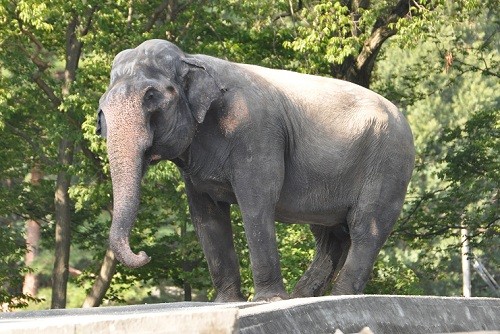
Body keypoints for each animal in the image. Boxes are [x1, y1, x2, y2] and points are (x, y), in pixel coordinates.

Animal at [96, 39, 414, 302]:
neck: (191, 59)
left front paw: (267, 300)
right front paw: (227, 302)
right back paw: (302, 297)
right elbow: (206, 216)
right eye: (102, 106)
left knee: (365, 228)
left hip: (389, 164)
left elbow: (257, 202)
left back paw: (339, 296)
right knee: (331, 235)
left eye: (150, 96)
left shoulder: (256, 132)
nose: (143, 253)